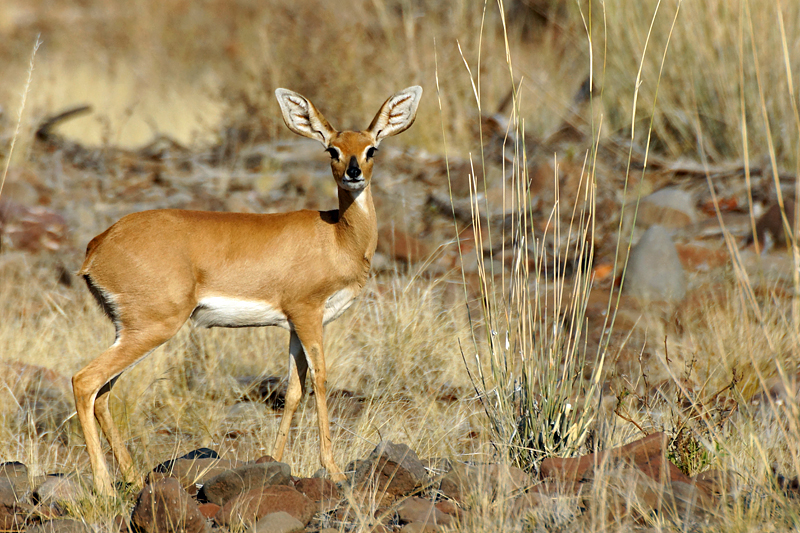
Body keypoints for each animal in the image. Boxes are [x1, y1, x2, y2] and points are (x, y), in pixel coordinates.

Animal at [76, 86, 424, 490]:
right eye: (332, 150)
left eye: (372, 149)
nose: (353, 174)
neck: (338, 237)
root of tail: (99, 244)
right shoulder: (308, 315)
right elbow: (320, 380)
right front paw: (334, 470)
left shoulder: (293, 326)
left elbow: (293, 390)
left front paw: (275, 461)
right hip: (152, 327)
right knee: (85, 381)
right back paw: (104, 487)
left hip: (127, 330)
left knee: (103, 393)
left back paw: (132, 477)